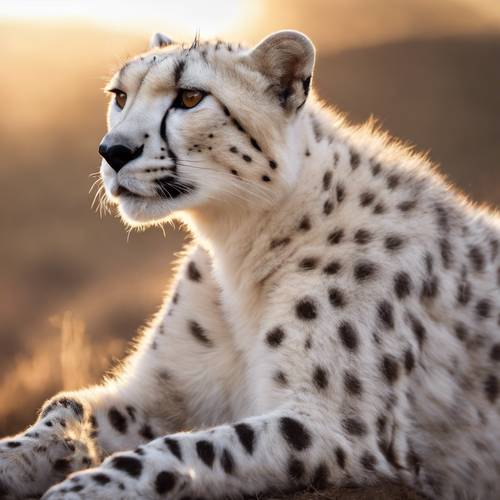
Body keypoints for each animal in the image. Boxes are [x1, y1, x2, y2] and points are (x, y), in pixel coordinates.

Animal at [0, 30, 500, 500]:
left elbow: (189, 449)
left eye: (190, 97)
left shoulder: (338, 428)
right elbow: (65, 405)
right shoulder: (158, 393)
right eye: (120, 95)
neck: (238, 246)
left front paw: (84, 487)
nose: (113, 151)